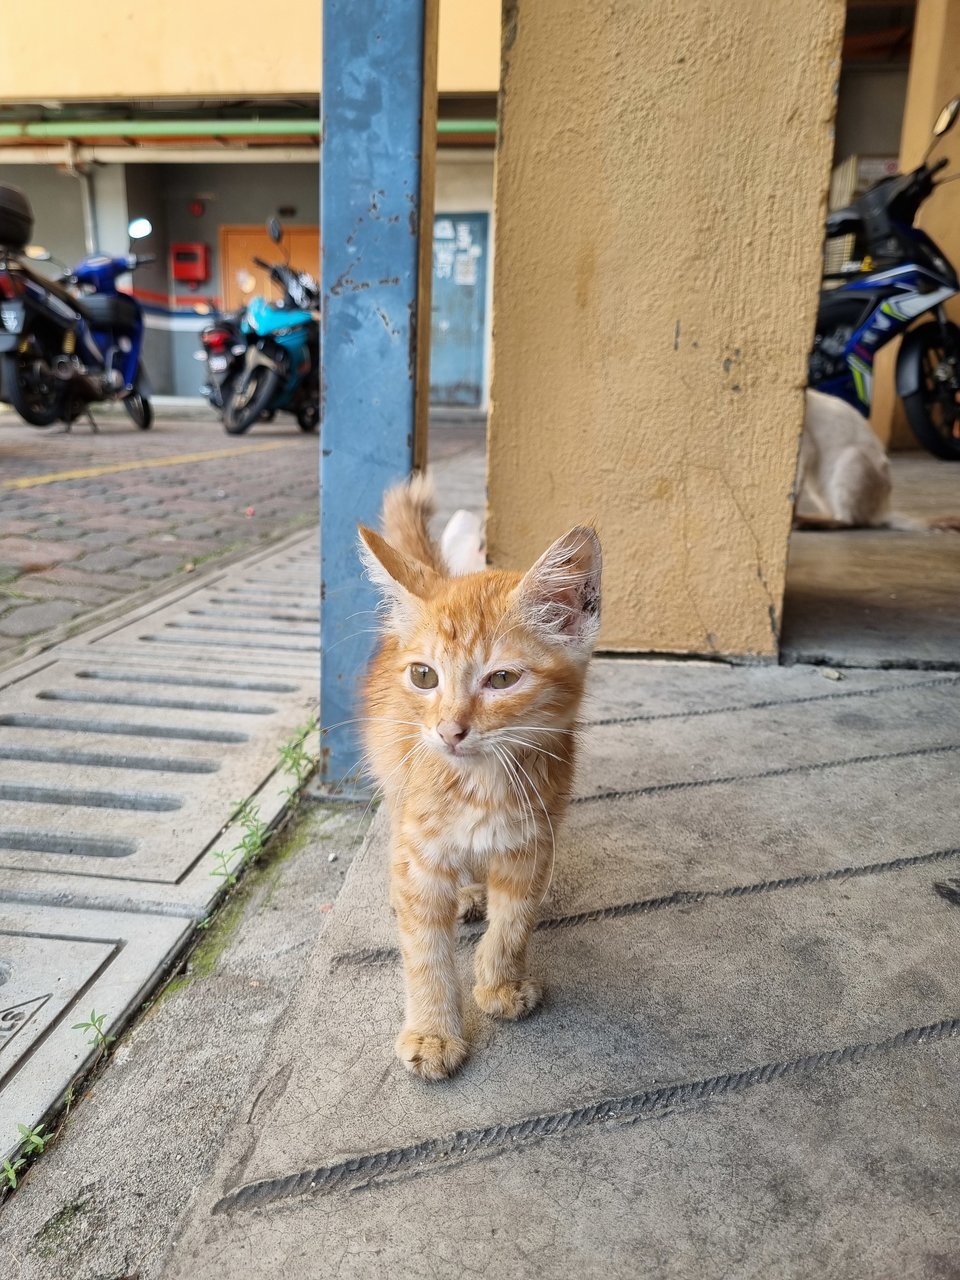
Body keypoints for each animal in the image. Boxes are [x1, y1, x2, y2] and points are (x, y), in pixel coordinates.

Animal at [360, 478, 601, 1080]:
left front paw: (499, 984)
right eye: (425, 676)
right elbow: (425, 951)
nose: (449, 731)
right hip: (394, 782)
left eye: (502, 679)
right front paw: (431, 1032)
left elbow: (515, 920)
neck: (481, 786)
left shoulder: (534, 840)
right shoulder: (421, 845)